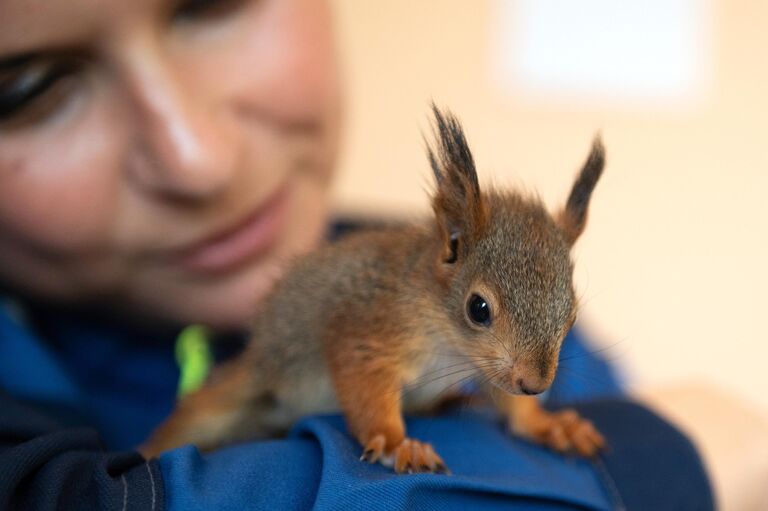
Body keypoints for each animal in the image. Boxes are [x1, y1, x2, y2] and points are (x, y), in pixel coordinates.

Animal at [142, 106, 608, 474]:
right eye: (478, 308)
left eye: (571, 316)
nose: (535, 384)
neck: (450, 344)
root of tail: (263, 357)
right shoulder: (369, 328)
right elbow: (365, 384)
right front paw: (397, 443)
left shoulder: (490, 368)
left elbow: (510, 406)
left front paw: (547, 424)